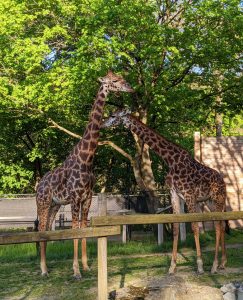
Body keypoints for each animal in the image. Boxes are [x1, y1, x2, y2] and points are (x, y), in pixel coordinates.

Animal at [36, 71, 133, 278]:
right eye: (114, 80)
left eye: (121, 77)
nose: (130, 87)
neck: (87, 159)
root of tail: (38, 185)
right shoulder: (75, 198)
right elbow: (74, 229)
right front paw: (76, 271)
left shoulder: (87, 198)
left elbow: (84, 228)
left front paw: (86, 266)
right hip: (43, 202)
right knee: (40, 229)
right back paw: (43, 270)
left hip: (55, 205)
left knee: (47, 228)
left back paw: (46, 267)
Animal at [101, 109, 227, 274]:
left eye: (114, 116)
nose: (102, 124)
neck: (170, 160)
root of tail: (224, 182)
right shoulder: (174, 194)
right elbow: (175, 228)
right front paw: (172, 266)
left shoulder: (189, 195)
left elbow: (194, 226)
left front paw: (199, 265)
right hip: (210, 201)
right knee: (221, 225)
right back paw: (222, 263)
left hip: (218, 198)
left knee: (218, 226)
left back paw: (214, 265)